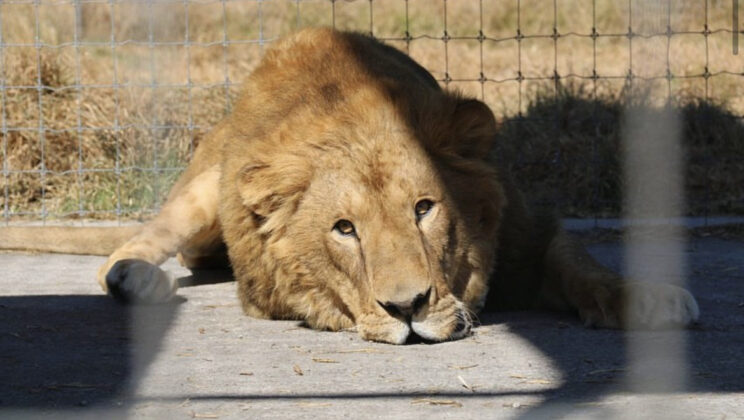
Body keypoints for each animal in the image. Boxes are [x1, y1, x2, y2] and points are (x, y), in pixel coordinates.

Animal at [0, 28, 696, 344]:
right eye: (344, 229)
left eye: (424, 209)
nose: (407, 308)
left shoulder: (531, 231)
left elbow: (585, 265)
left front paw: (651, 299)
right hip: (200, 194)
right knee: (134, 246)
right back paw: (134, 280)